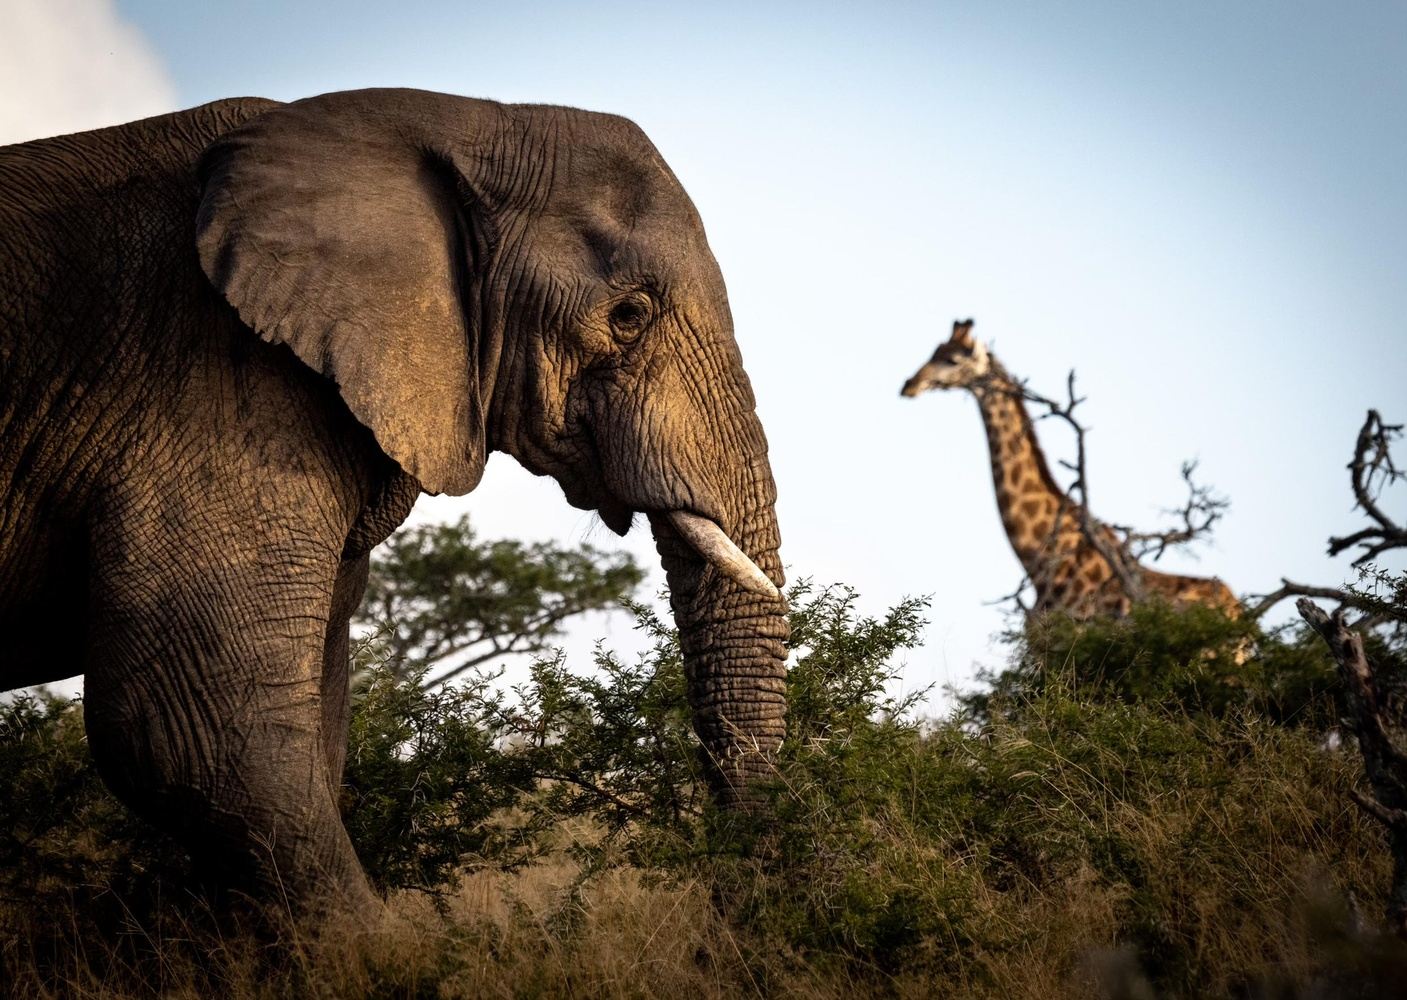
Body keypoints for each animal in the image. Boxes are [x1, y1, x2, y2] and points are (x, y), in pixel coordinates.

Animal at [0, 90, 793, 917]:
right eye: (629, 315)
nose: (722, 905)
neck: (452, 121)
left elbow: (306, 736)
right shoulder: (205, 385)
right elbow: (198, 735)